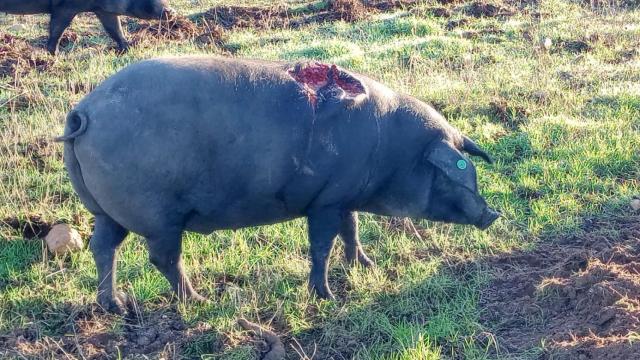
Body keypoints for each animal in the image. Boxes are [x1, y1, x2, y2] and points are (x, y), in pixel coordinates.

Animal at [0, 0, 175, 54]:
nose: (171, 11)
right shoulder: (64, 8)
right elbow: (57, 29)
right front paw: (54, 54)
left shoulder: (103, 10)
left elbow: (116, 29)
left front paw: (128, 48)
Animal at [58, 56, 500, 312]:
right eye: (458, 170)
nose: (493, 214)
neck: (390, 151)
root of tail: (83, 112)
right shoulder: (324, 201)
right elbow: (322, 245)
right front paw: (328, 297)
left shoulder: (342, 194)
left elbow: (352, 228)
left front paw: (367, 266)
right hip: (159, 216)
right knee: (162, 258)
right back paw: (200, 300)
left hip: (106, 212)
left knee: (103, 248)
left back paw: (115, 305)